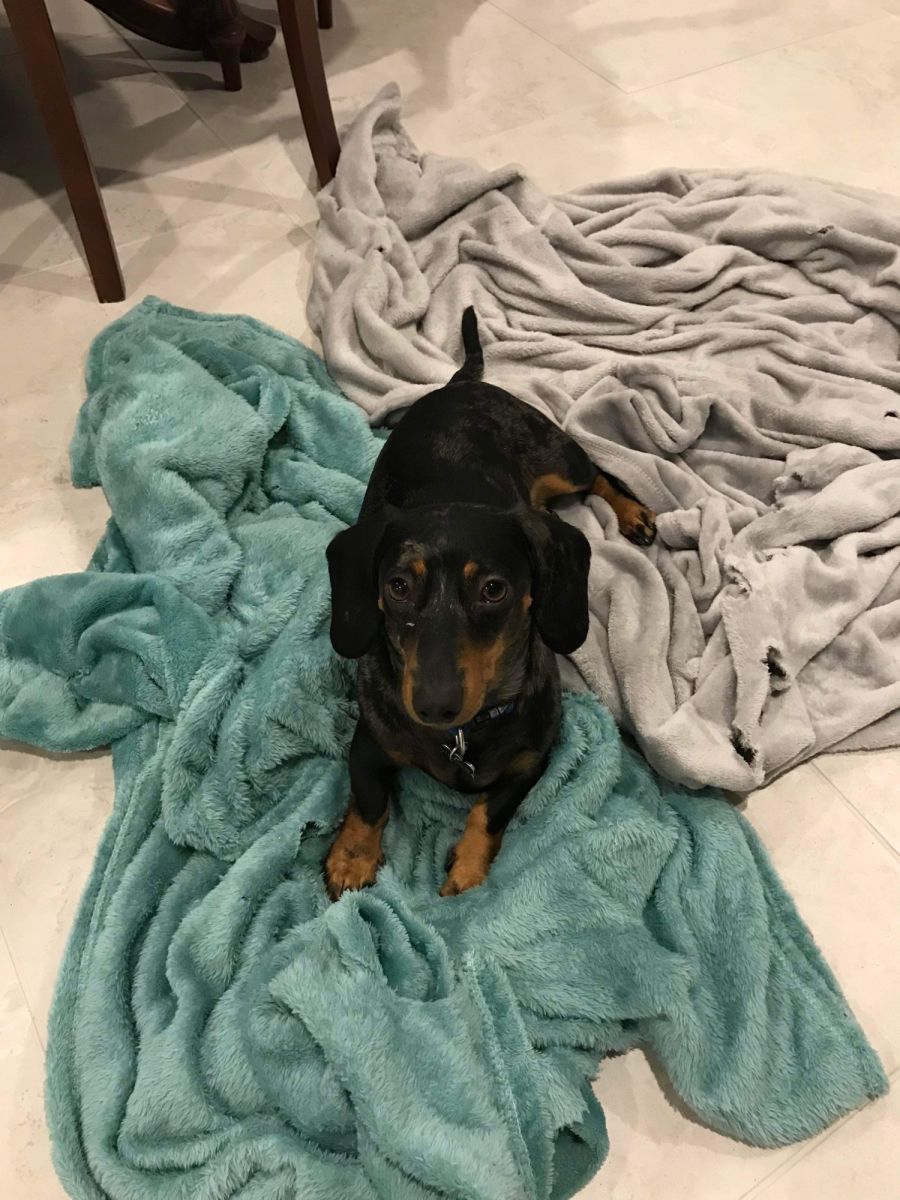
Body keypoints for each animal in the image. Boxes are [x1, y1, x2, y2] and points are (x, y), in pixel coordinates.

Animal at [324, 309, 656, 899]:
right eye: (398, 586)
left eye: (493, 589)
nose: (434, 705)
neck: (464, 736)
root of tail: (462, 385)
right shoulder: (368, 742)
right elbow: (368, 799)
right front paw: (352, 858)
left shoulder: (533, 761)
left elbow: (490, 811)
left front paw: (468, 867)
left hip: (559, 459)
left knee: (599, 471)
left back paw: (633, 513)